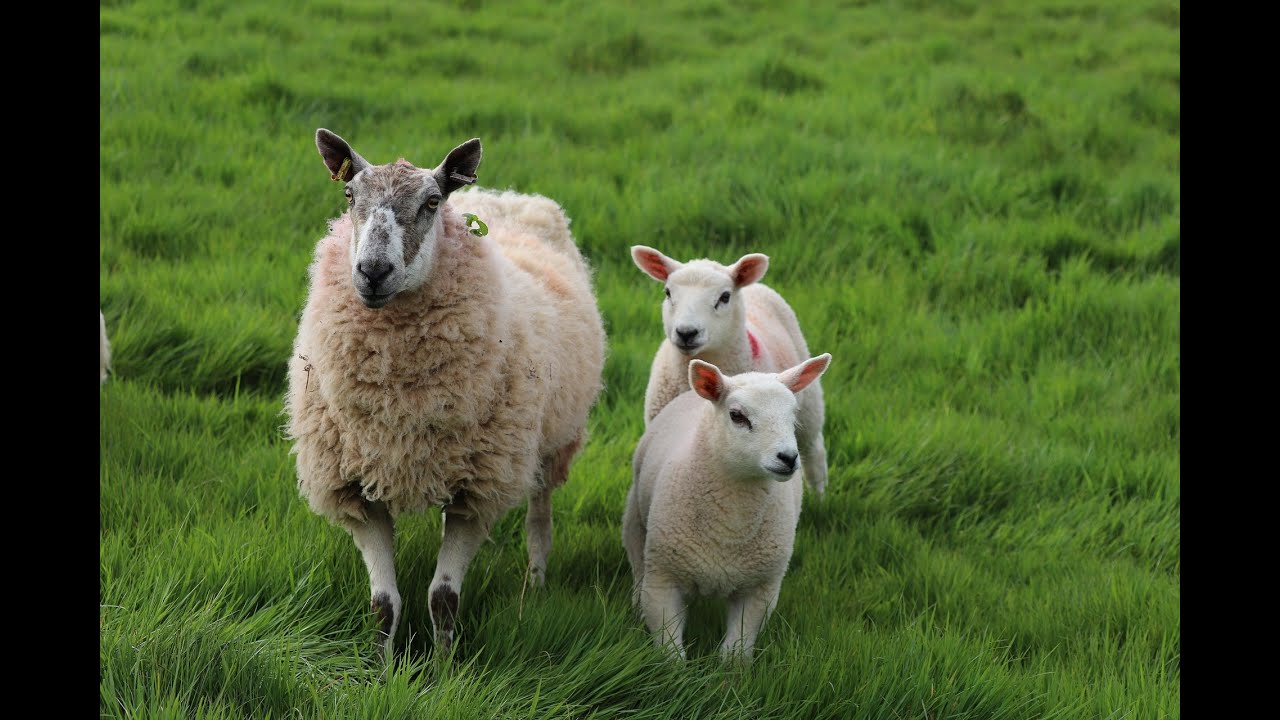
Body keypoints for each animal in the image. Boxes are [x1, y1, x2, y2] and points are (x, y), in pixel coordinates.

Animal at [285, 129, 606, 662]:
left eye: (431, 202)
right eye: (349, 196)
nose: (372, 271)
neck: (398, 407)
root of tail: (505, 196)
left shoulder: (477, 491)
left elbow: (443, 598)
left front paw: (444, 669)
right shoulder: (355, 489)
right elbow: (384, 604)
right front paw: (382, 669)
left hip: (552, 440)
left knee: (539, 516)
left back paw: (536, 585)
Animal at [623, 354, 832, 663]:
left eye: (793, 415)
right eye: (737, 416)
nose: (788, 458)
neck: (731, 524)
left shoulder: (760, 589)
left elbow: (736, 651)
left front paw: (731, 673)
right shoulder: (663, 579)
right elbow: (670, 651)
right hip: (636, 521)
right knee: (637, 562)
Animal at [630, 246, 829, 497]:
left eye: (724, 297)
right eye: (668, 292)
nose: (686, 332)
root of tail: (754, 286)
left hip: (810, 407)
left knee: (814, 452)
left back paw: (819, 497)